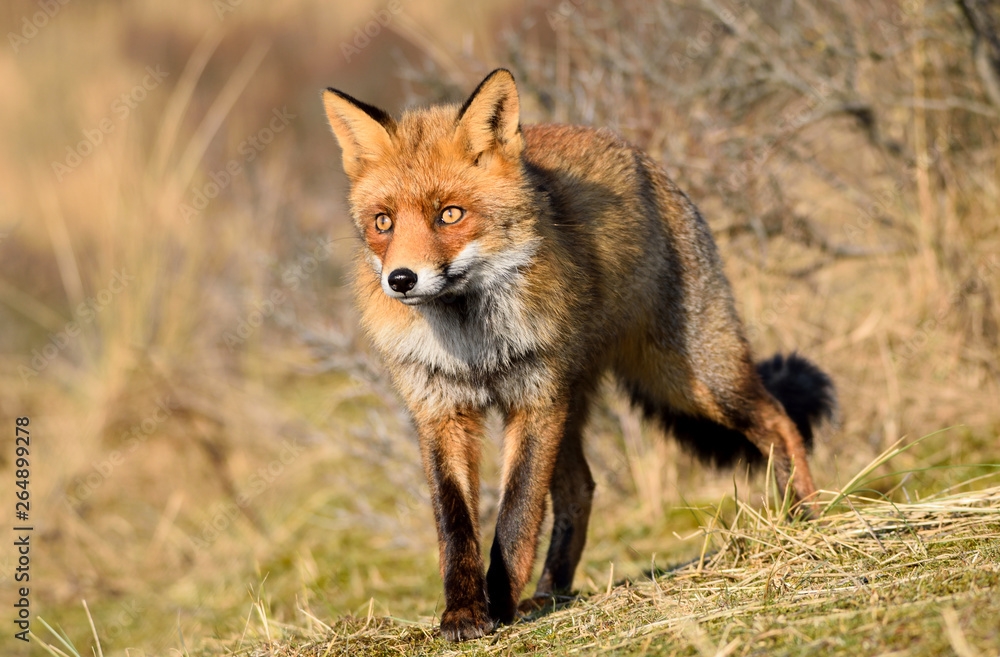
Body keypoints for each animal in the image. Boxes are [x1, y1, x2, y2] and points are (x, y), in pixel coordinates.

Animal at [321, 68, 836, 641]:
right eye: (383, 223)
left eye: (450, 214)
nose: (401, 280)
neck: (474, 340)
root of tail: (637, 152)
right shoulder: (441, 409)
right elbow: (455, 524)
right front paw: (464, 612)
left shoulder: (535, 399)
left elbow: (517, 514)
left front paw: (499, 605)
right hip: (586, 405)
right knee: (580, 490)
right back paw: (552, 592)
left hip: (691, 381)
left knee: (779, 421)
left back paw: (807, 518)